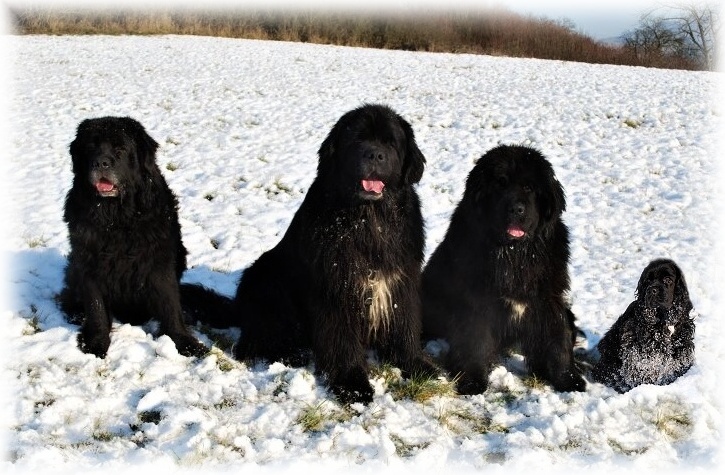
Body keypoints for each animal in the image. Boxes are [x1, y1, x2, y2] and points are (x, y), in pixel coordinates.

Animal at [58, 117, 208, 358]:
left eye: (120, 149)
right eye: (91, 147)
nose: (101, 163)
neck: (115, 217)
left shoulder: (159, 261)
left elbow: (170, 303)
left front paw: (185, 342)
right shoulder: (89, 261)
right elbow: (96, 306)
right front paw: (96, 342)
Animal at [229, 104, 438, 406]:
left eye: (390, 142)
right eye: (356, 139)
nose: (374, 154)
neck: (368, 220)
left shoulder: (400, 282)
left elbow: (404, 327)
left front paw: (417, 365)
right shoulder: (337, 290)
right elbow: (342, 342)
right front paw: (352, 385)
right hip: (264, 277)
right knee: (251, 343)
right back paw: (292, 353)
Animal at [422, 147, 584, 396]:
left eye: (529, 187)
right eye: (500, 184)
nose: (516, 209)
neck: (515, 256)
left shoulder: (548, 300)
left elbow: (558, 338)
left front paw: (569, 380)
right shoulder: (476, 304)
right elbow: (474, 342)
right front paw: (472, 381)